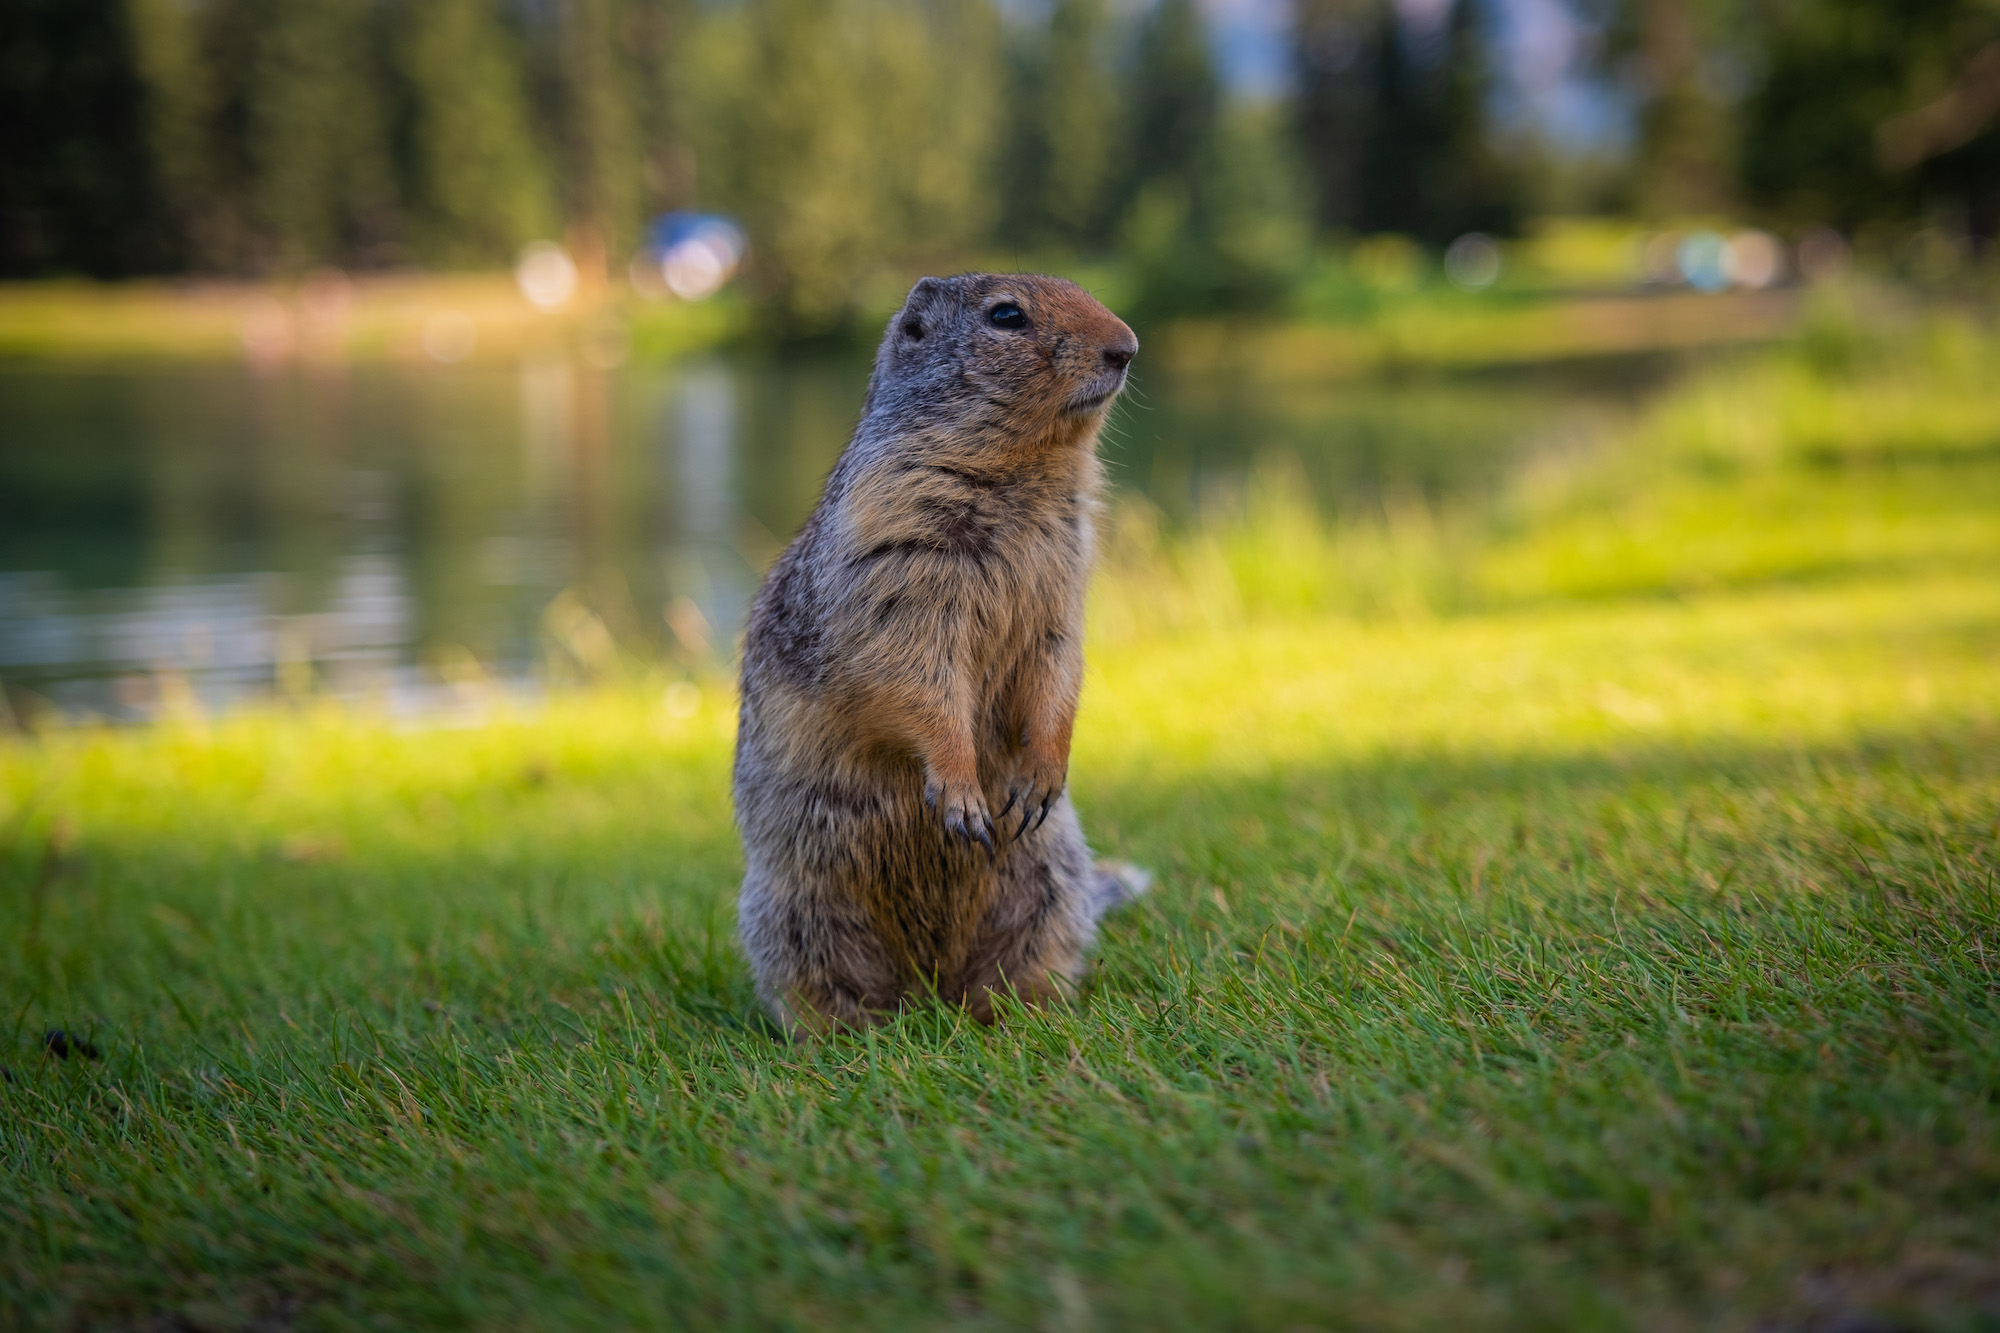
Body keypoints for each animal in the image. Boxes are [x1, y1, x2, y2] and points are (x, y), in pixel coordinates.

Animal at [736, 270, 1152, 1032]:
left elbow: (1059, 667)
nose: (1127, 346)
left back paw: (1021, 1011)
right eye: (1006, 315)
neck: (1029, 469)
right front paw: (961, 794)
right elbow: (919, 680)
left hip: (1051, 886)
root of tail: (929, 989)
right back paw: (841, 1032)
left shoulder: (1063, 587)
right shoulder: (898, 564)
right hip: (795, 912)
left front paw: (1042, 775)